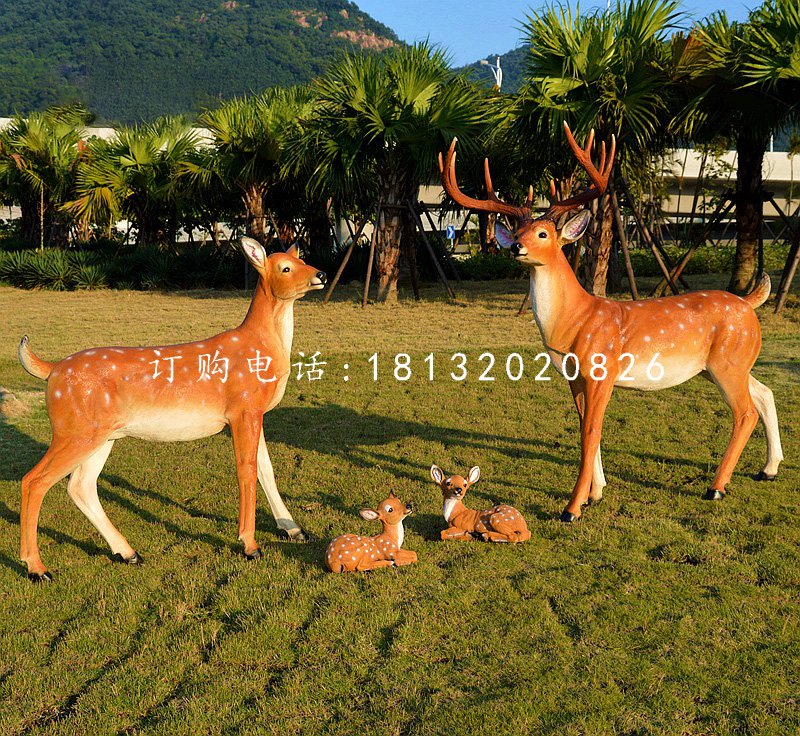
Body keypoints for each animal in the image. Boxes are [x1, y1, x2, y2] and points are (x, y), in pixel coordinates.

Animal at [18, 237, 324, 580]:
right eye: (285, 268)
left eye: (303, 260)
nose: (321, 274)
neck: (261, 350)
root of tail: (52, 370)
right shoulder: (242, 407)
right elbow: (246, 470)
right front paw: (250, 545)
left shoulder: (254, 412)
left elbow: (266, 470)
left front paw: (294, 529)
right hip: (72, 429)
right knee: (34, 481)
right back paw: (37, 568)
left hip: (101, 435)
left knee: (80, 486)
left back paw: (128, 553)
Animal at [438, 122, 780, 524]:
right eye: (518, 230)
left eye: (543, 234)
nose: (514, 246)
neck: (575, 320)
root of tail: (748, 301)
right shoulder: (574, 377)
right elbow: (587, 431)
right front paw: (595, 494)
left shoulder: (602, 370)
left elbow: (590, 432)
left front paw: (572, 507)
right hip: (725, 363)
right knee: (765, 393)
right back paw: (768, 469)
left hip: (728, 361)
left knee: (745, 412)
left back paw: (716, 487)